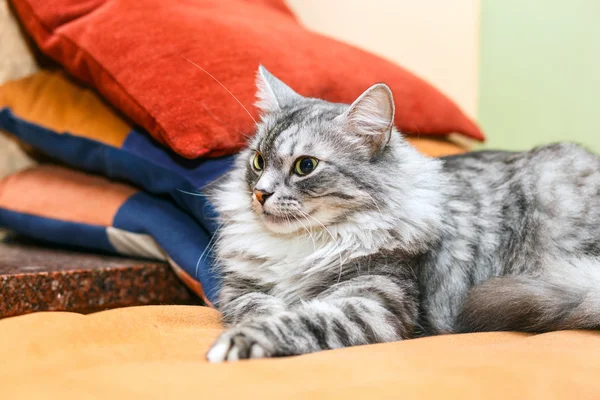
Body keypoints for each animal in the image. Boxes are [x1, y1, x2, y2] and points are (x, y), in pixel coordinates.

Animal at [206, 66, 600, 362]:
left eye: (306, 166)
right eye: (258, 162)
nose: (260, 193)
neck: (303, 244)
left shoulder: (373, 303)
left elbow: (305, 321)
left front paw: (242, 341)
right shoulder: (239, 290)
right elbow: (257, 307)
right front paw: (267, 314)